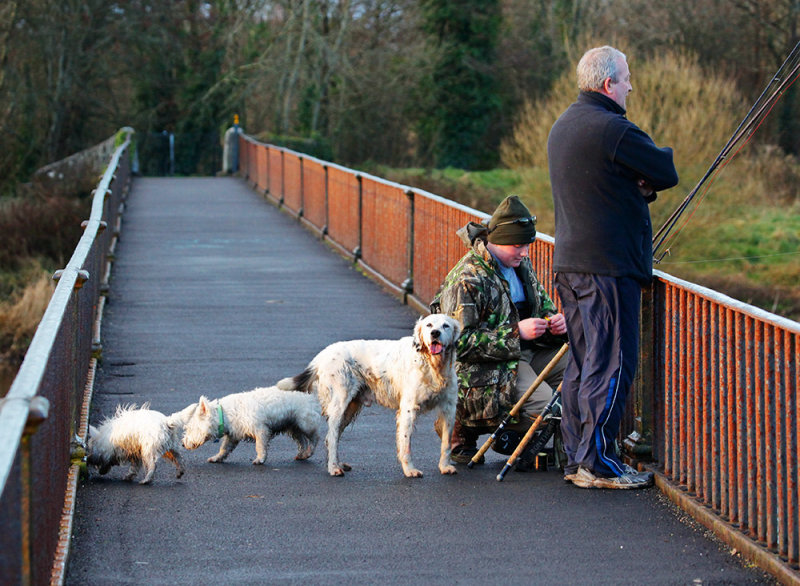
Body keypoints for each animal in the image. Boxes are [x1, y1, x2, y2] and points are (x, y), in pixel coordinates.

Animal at [181, 386, 322, 464]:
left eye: (191, 428)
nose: (182, 444)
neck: (224, 414)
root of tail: (311, 396)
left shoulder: (261, 430)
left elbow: (259, 446)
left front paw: (260, 459)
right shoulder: (233, 435)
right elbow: (224, 448)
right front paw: (217, 458)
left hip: (305, 423)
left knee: (314, 437)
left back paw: (309, 451)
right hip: (293, 426)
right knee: (302, 441)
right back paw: (302, 454)